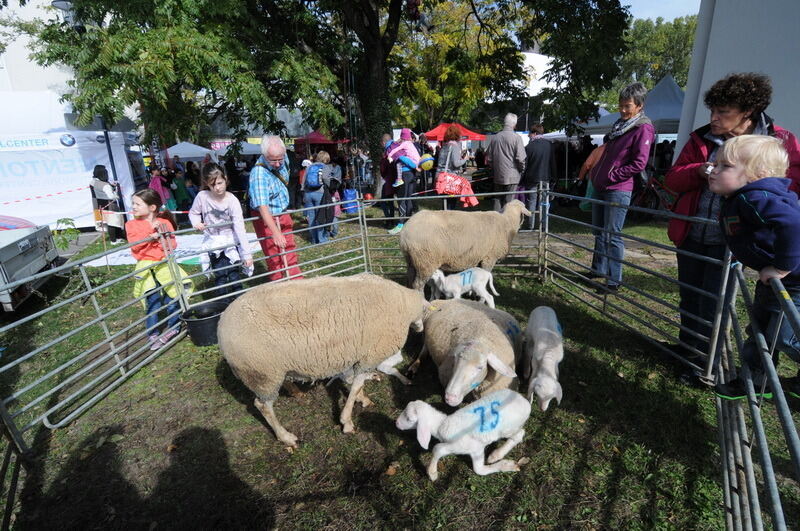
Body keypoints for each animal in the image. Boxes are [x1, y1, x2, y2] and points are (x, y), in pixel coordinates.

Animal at [217, 274, 432, 448]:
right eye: (425, 312)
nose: (421, 330)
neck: (403, 305)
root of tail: (221, 326)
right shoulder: (371, 354)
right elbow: (356, 384)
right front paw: (347, 421)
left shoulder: (355, 354)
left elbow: (353, 382)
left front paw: (361, 398)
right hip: (262, 374)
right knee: (263, 406)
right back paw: (286, 437)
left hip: (272, 371)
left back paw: (293, 390)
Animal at [396, 386, 532, 482]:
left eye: (409, 419)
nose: (396, 423)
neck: (442, 424)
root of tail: (525, 402)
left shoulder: (470, 447)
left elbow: (438, 449)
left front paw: (432, 473)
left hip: (509, 428)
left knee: (519, 435)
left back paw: (497, 454)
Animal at [400, 200, 532, 290]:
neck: (507, 222)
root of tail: (405, 232)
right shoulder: (489, 258)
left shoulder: (479, 258)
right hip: (426, 261)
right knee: (418, 284)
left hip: (412, 260)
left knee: (410, 280)